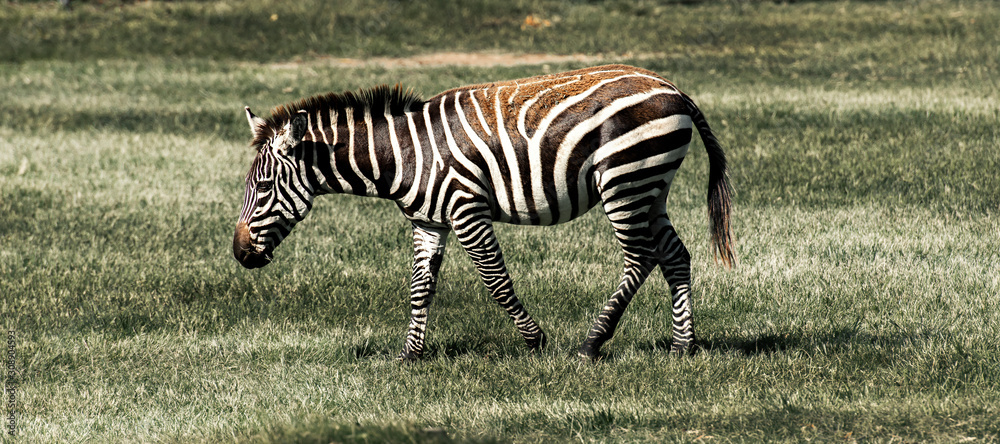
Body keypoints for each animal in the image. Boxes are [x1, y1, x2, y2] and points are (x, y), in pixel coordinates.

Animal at [234, 63, 736, 360]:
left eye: (263, 187)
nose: (239, 254)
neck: (405, 156)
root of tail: (673, 89)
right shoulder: (429, 221)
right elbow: (420, 288)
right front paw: (410, 355)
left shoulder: (466, 210)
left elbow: (496, 281)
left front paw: (535, 341)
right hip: (650, 186)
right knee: (674, 255)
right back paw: (684, 345)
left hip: (624, 180)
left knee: (640, 257)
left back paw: (592, 342)